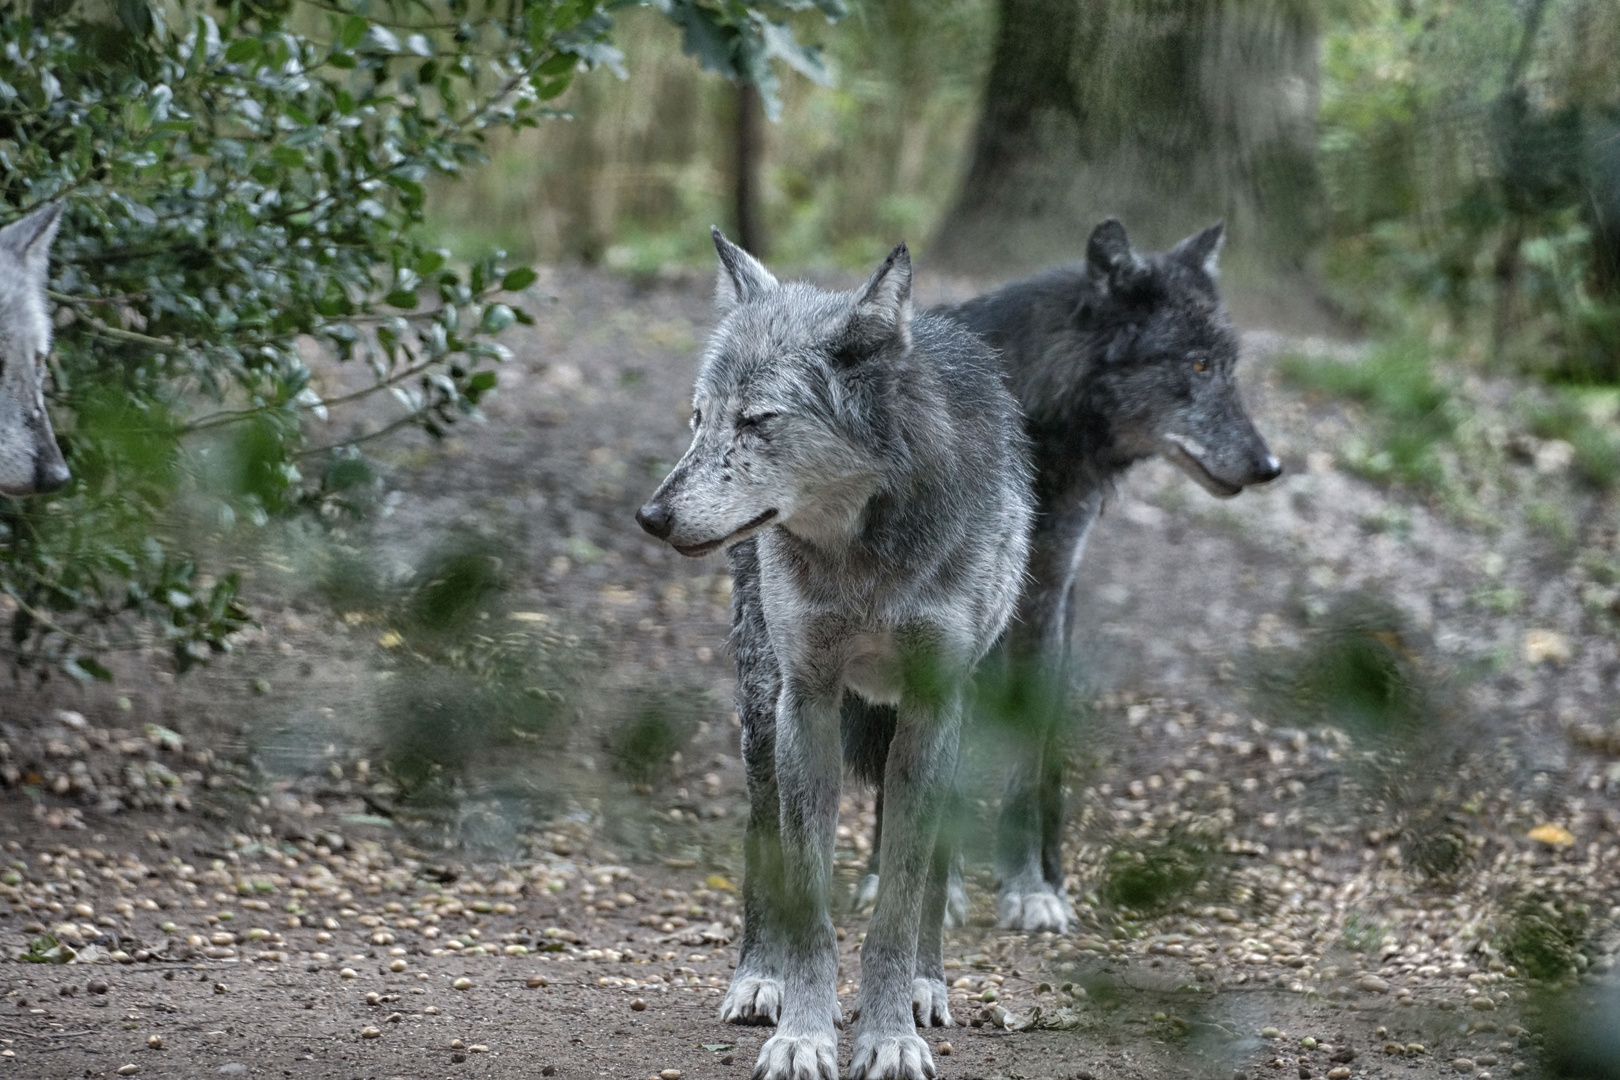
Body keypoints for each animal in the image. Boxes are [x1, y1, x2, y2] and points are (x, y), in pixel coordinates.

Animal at [638, 229, 1030, 1080]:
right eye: (697, 419)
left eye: (757, 421)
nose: (651, 516)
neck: (867, 558)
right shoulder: (807, 702)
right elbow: (810, 905)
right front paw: (803, 1036)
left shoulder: (931, 710)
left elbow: (899, 903)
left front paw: (891, 1035)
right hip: (762, 714)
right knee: (762, 849)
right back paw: (759, 978)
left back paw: (928, 986)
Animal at [848, 216, 1276, 932]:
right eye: (1197, 364)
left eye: (1229, 368)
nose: (1269, 465)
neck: (1038, 424)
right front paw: (914, 884)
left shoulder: (1043, 601)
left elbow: (1023, 764)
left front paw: (1027, 888)